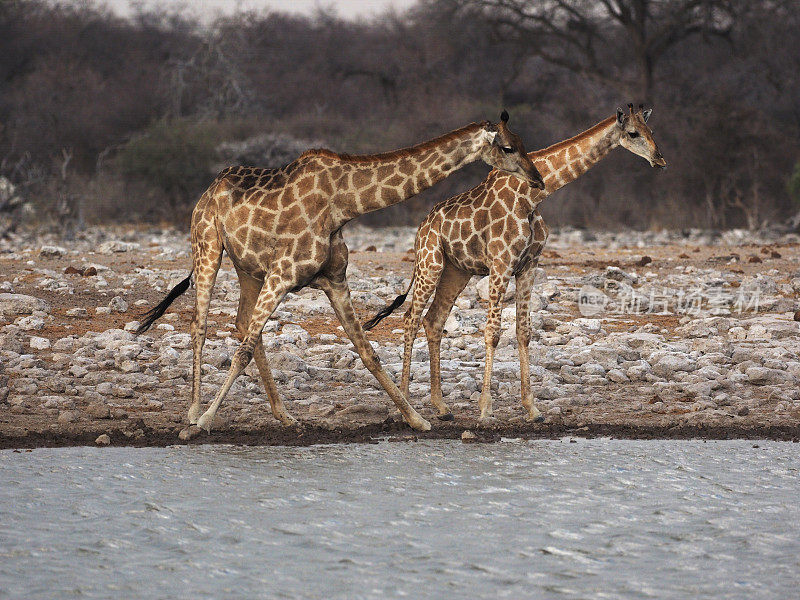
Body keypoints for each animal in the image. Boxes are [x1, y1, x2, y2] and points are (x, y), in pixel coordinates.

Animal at [138, 111, 548, 432]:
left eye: (523, 142)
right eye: (508, 147)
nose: (538, 178)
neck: (343, 205)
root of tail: (208, 190)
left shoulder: (334, 279)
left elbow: (368, 351)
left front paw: (416, 419)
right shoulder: (283, 273)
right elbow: (242, 352)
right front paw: (205, 421)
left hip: (249, 268)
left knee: (241, 323)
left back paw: (284, 415)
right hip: (207, 245)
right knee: (202, 323)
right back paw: (194, 411)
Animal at [366, 103, 664, 422]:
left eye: (650, 130)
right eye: (633, 133)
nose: (660, 159)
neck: (532, 197)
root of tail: (421, 228)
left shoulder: (529, 266)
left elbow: (524, 332)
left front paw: (532, 408)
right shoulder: (501, 263)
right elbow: (493, 333)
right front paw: (486, 409)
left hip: (456, 271)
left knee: (434, 320)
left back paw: (441, 406)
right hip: (429, 263)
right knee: (411, 318)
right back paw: (406, 404)